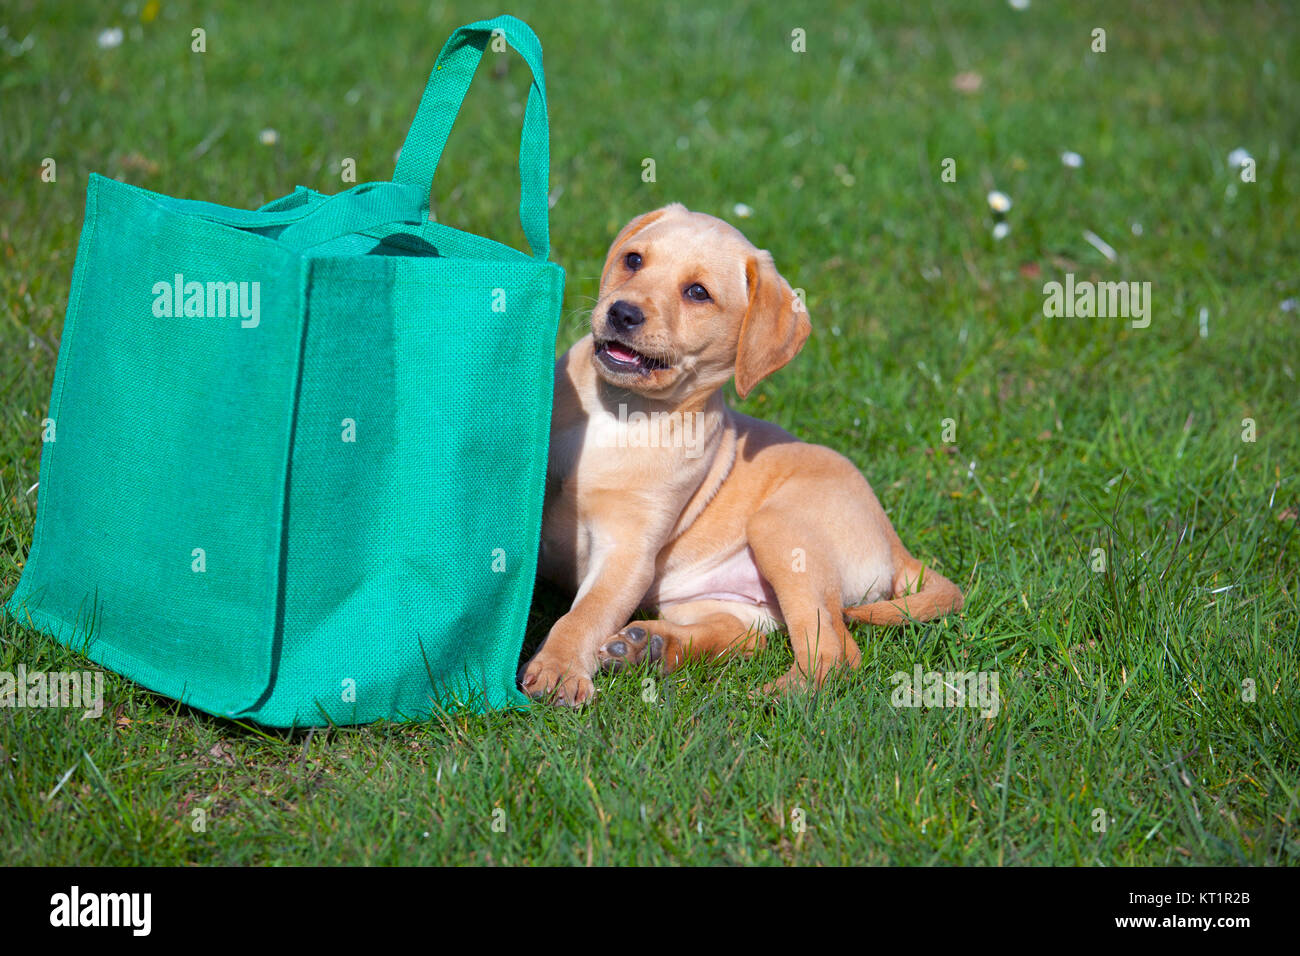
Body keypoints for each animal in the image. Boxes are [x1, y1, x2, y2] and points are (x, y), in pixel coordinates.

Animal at [520, 204, 967, 712]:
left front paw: (558, 668)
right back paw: (651, 646)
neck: (618, 411)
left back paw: (776, 697)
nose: (621, 312)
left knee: (834, 650)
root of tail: (893, 541)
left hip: (779, 530)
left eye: (698, 293)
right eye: (633, 260)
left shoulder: (628, 551)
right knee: (748, 638)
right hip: (713, 598)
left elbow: (585, 614)